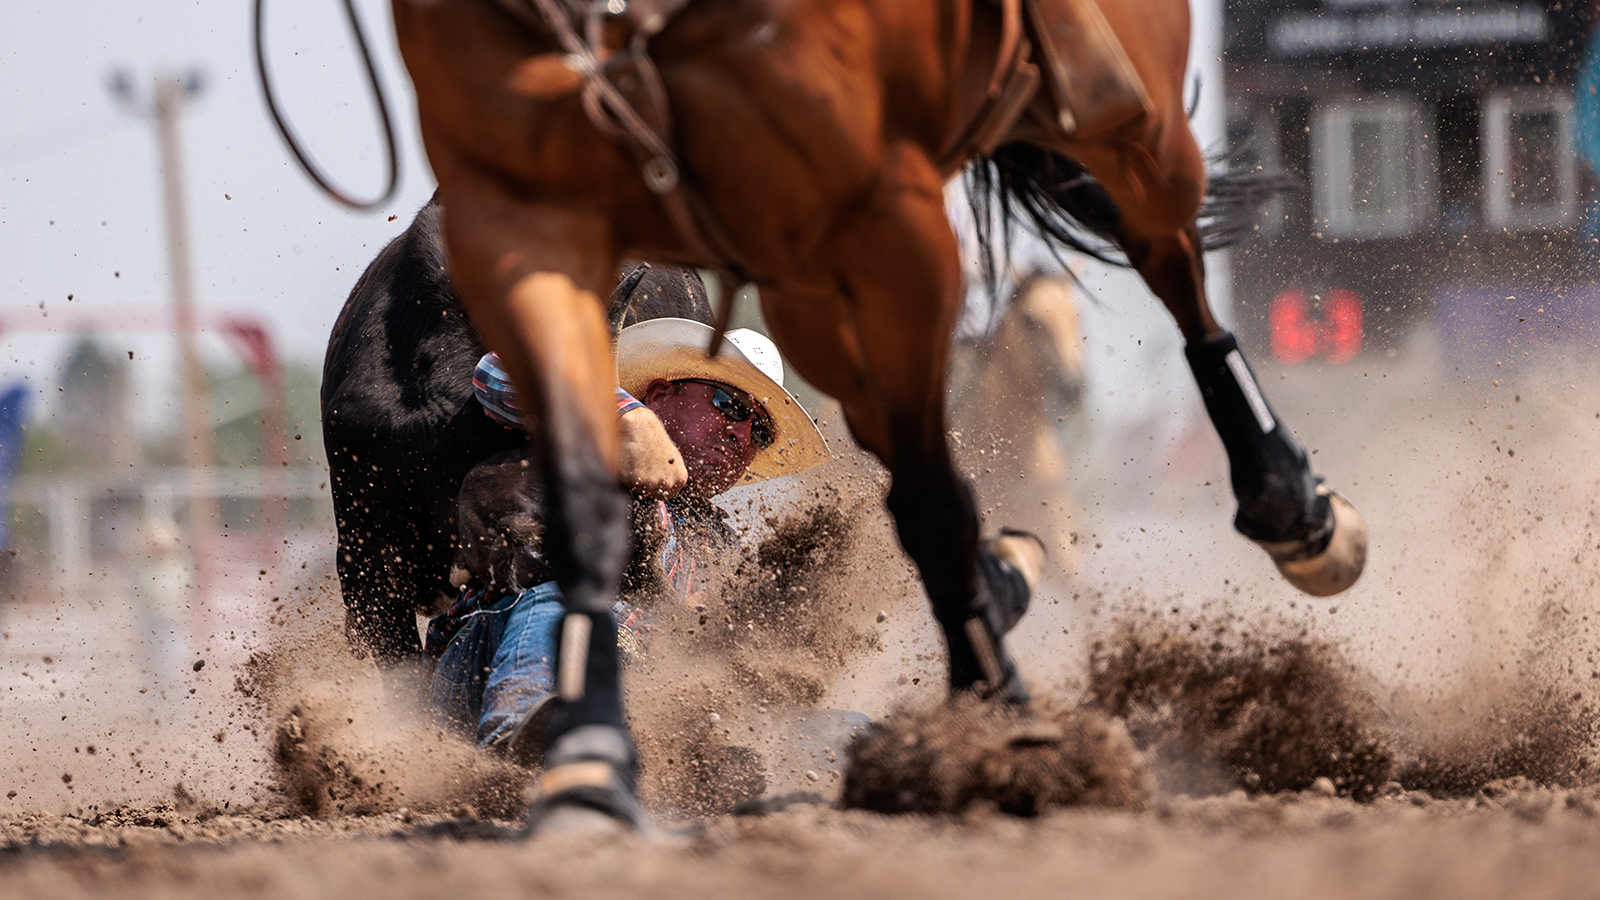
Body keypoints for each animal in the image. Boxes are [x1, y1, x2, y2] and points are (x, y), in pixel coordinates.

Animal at [384, 0, 1363, 826]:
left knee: (1167, 256)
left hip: (1130, 123)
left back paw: (1299, 517)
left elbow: (941, 509)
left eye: (742, 417)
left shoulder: (881, 230)